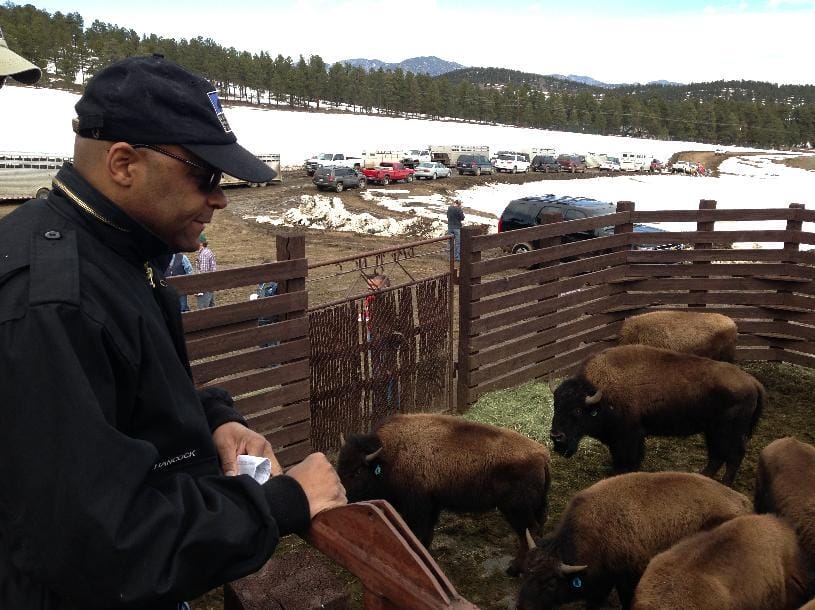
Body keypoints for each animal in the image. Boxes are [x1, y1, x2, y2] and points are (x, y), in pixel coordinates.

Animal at [334, 410, 552, 572]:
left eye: (357, 471)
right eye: (339, 466)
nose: (343, 496)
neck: (389, 456)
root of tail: (542, 455)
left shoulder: (418, 507)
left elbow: (419, 533)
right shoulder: (432, 504)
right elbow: (427, 534)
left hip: (516, 510)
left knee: (528, 533)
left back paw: (515, 569)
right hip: (534, 506)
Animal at [516, 470, 752, 608]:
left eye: (550, 583)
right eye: (525, 572)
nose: (522, 606)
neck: (594, 532)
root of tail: (743, 501)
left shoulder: (627, 578)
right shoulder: (604, 579)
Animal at [548, 344, 764, 482]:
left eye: (577, 410)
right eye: (556, 406)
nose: (556, 436)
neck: (600, 393)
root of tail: (753, 382)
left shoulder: (627, 436)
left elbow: (626, 458)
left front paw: (620, 473)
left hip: (729, 433)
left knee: (733, 457)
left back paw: (724, 483)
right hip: (711, 432)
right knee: (717, 456)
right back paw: (702, 476)